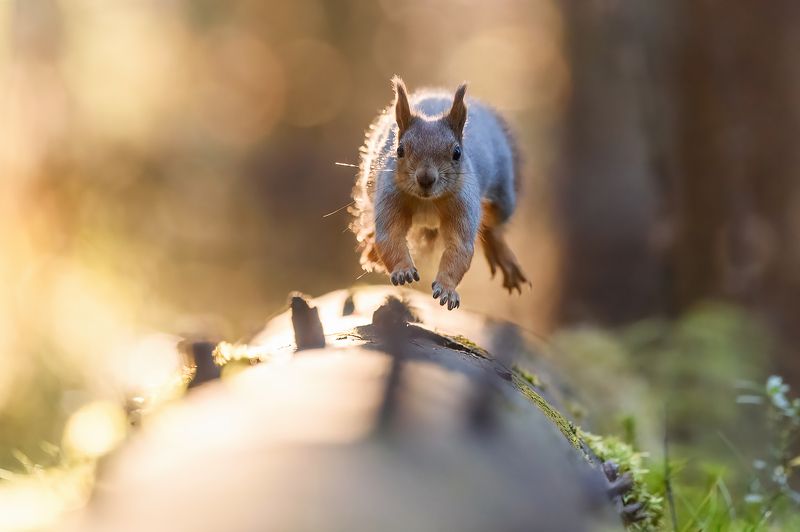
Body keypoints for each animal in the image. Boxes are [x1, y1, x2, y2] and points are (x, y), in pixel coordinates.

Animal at [350, 76, 529, 310]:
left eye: (457, 153)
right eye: (399, 150)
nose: (426, 179)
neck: (427, 201)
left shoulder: (463, 203)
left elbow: (459, 248)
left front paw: (446, 289)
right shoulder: (390, 195)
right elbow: (390, 236)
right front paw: (402, 269)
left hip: (503, 197)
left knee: (493, 225)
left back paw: (502, 255)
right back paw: (371, 247)